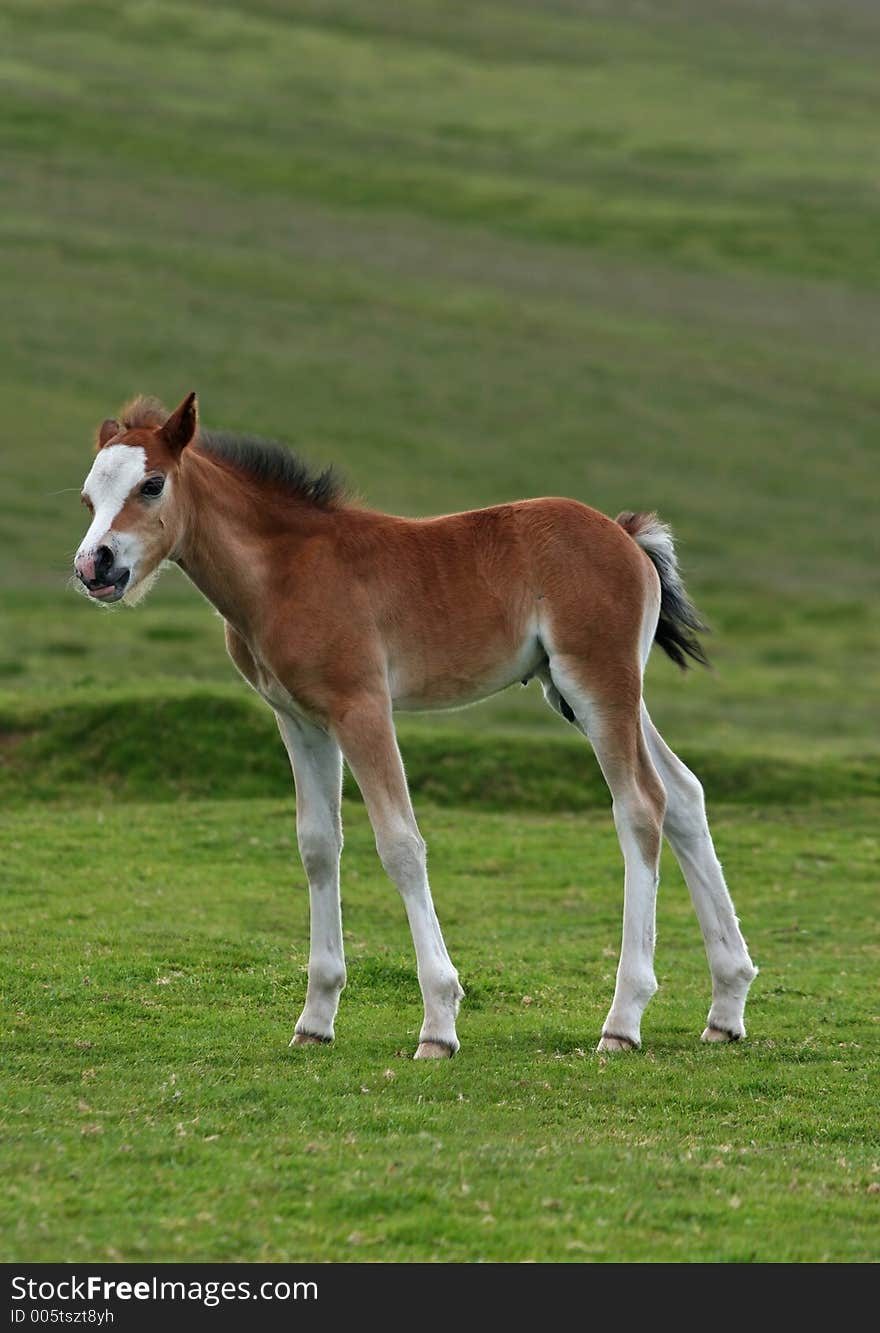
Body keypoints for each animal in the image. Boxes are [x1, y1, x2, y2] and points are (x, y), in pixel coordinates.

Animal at [74, 389, 757, 1055]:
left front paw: (439, 1022)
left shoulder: (362, 707)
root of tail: (624, 534)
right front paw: (315, 1020)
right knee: (685, 795)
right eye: (88, 497)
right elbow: (318, 846)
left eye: (152, 485)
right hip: (588, 694)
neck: (286, 572)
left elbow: (400, 844)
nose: (94, 566)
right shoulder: (300, 720)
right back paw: (726, 1005)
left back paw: (623, 1019)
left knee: (640, 805)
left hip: (597, 683)